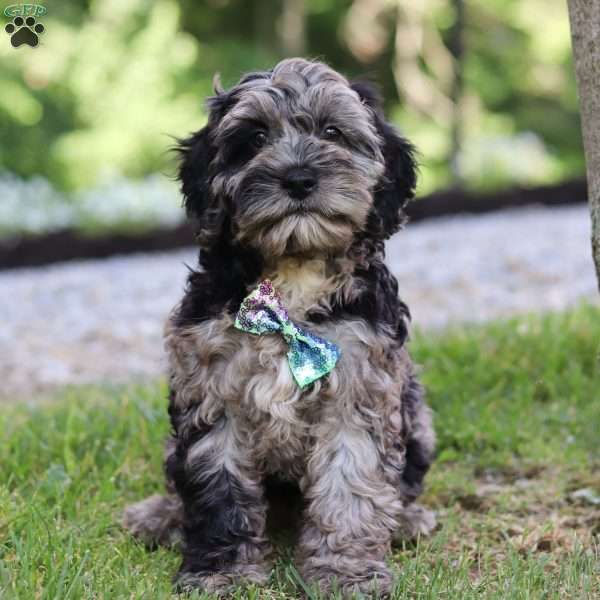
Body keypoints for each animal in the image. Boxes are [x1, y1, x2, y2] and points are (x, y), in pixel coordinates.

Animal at [124, 58, 436, 596]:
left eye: (333, 132)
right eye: (254, 138)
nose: (298, 178)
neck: (291, 283)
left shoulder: (361, 388)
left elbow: (351, 487)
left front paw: (346, 574)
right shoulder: (211, 389)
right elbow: (218, 488)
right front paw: (221, 572)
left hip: (416, 412)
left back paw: (406, 520)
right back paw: (161, 516)